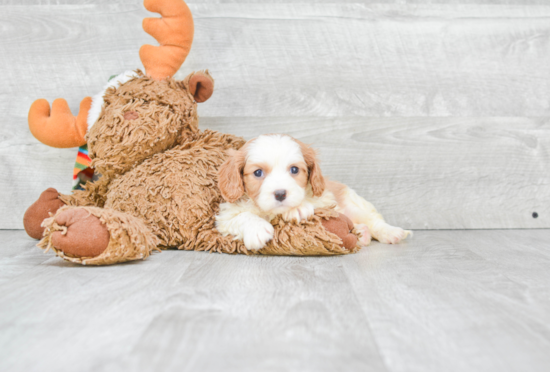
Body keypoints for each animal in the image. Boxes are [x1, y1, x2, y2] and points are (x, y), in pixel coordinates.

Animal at [216, 134, 410, 250]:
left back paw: (390, 232)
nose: (280, 194)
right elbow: (241, 217)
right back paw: (362, 233)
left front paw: (297, 208)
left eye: (294, 170)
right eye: (258, 173)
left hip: (353, 203)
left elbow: (315, 203)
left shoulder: (325, 198)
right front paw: (257, 229)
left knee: (373, 220)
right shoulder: (225, 216)